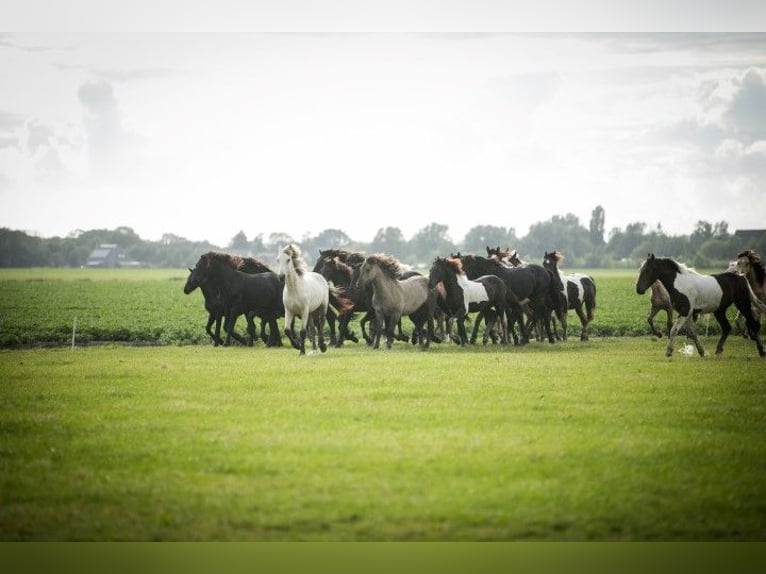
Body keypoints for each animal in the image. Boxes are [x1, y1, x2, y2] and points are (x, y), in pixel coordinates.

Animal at [636, 254, 766, 358]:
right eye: (640, 270)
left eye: (647, 270)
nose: (639, 290)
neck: (679, 283)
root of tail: (742, 277)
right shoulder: (686, 314)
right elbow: (692, 333)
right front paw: (701, 352)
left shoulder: (685, 312)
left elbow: (674, 330)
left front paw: (668, 352)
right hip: (720, 310)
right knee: (727, 327)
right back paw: (718, 351)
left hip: (743, 304)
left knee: (753, 324)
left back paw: (761, 351)